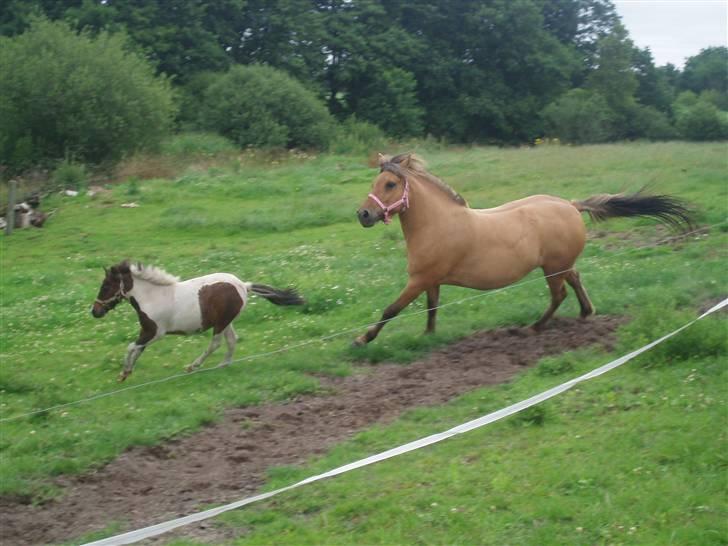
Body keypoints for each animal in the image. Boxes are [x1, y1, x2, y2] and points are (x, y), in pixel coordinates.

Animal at [92, 261, 304, 381]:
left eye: (106, 286)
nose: (95, 311)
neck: (152, 297)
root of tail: (243, 285)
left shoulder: (154, 333)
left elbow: (130, 348)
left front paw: (123, 373)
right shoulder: (146, 332)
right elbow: (137, 350)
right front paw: (126, 373)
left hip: (220, 324)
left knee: (216, 343)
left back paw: (193, 366)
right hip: (226, 322)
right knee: (231, 340)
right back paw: (223, 365)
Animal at [353, 153, 693, 346]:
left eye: (390, 184)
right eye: (375, 182)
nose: (364, 215)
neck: (438, 223)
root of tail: (571, 205)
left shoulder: (420, 279)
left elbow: (391, 309)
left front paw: (362, 338)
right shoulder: (431, 280)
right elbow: (432, 308)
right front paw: (428, 337)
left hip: (552, 268)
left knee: (560, 294)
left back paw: (534, 327)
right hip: (561, 264)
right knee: (576, 279)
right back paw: (585, 313)